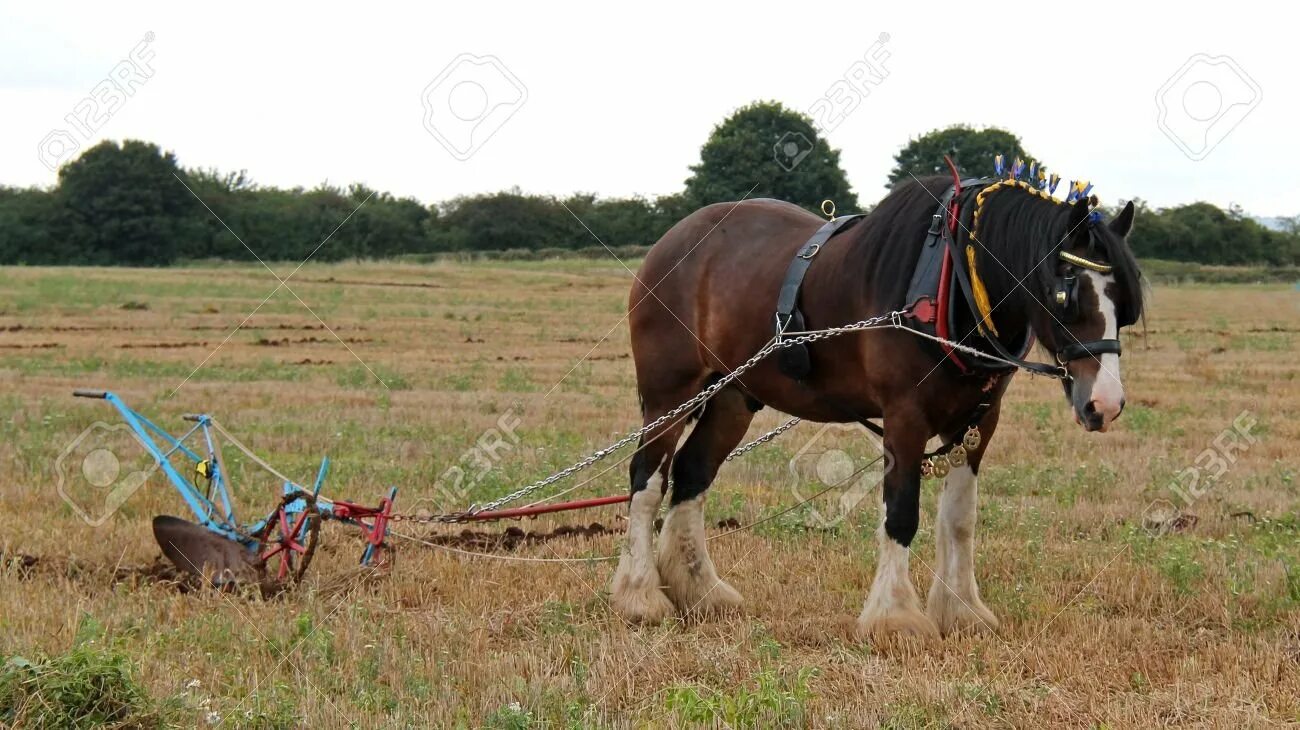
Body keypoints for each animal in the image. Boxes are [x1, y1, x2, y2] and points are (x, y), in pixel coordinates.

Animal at [613, 171, 1144, 636]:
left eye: (1124, 300)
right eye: (1066, 293)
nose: (1106, 403)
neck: (951, 286)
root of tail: (674, 238)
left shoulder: (978, 423)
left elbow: (959, 519)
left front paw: (961, 611)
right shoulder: (903, 417)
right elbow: (902, 513)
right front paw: (896, 617)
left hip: (731, 397)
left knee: (691, 475)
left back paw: (699, 590)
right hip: (671, 392)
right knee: (647, 480)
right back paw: (640, 595)